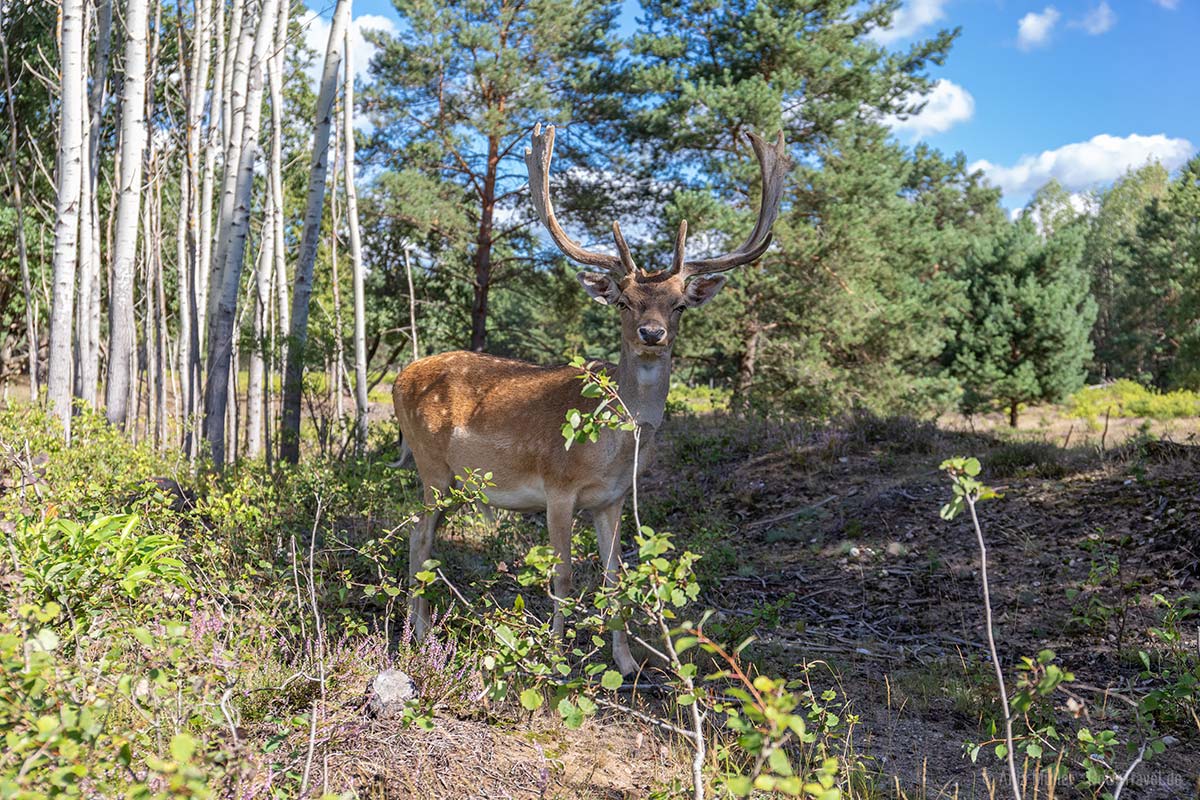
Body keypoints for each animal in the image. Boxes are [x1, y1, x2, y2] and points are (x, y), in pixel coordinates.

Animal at [393, 123, 787, 676]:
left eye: (680, 305)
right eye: (623, 301)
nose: (651, 333)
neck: (610, 449)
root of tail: (399, 377)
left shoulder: (613, 499)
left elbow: (616, 577)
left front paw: (627, 662)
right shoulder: (557, 490)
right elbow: (562, 577)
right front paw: (556, 660)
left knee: (420, 537)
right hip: (432, 468)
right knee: (419, 536)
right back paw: (421, 638)